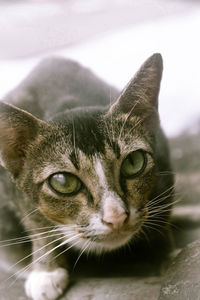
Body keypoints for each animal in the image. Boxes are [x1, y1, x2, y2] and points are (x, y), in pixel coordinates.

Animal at [0, 54, 173, 300]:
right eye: (63, 182)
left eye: (134, 162)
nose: (116, 217)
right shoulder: (8, 188)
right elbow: (35, 222)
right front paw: (46, 271)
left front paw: (167, 254)